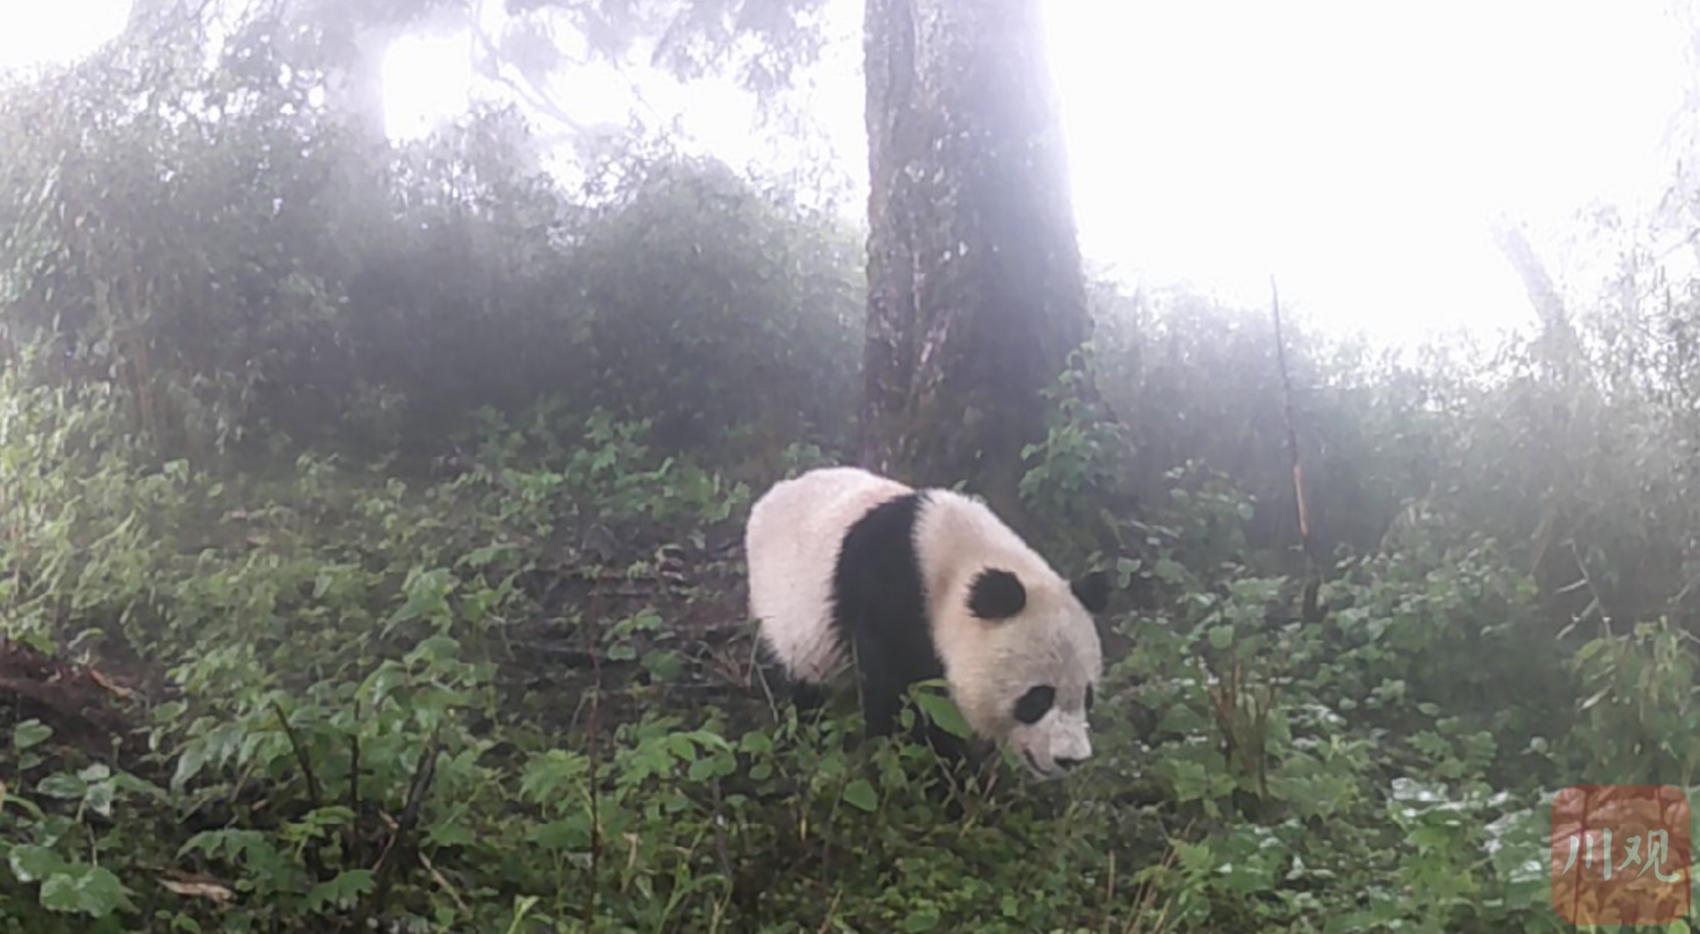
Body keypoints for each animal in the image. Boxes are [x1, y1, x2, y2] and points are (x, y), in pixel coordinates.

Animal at [744, 466, 1101, 779]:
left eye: (1088, 695)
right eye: (1038, 698)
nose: (1071, 760)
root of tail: (769, 497)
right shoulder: (888, 599)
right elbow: (902, 703)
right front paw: (944, 775)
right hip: (785, 614)